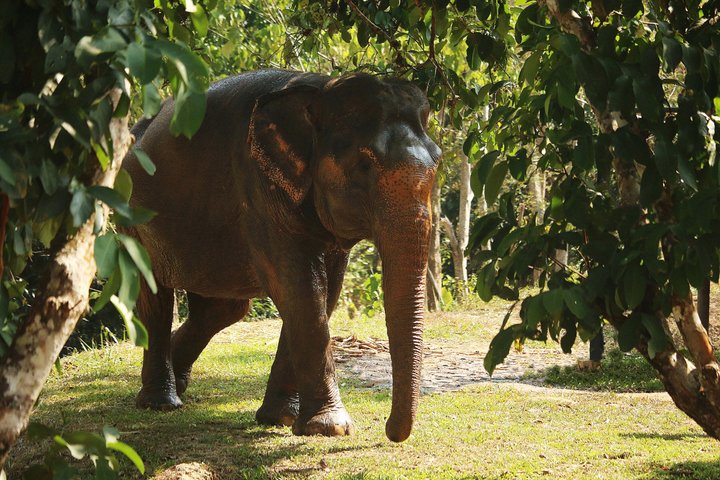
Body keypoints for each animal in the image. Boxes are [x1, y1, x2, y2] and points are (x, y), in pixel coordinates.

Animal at [123, 69, 440, 442]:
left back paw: (179, 381)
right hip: (131, 211)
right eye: (363, 165)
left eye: (437, 162)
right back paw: (161, 402)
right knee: (155, 297)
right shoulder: (257, 186)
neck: (321, 89)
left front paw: (282, 419)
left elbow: (323, 293)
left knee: (221, 308)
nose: (390, 430)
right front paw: (330, 427)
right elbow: (300, 288)